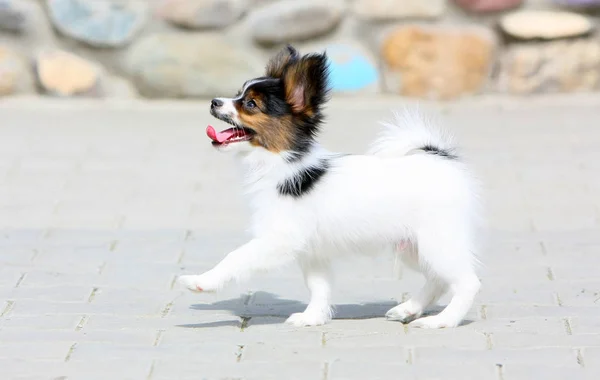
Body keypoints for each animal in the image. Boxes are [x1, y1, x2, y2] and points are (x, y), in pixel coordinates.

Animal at [179, 45, 482, 330]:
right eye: (237, 94)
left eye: (250, 104)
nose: (214, 102)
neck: (281, 163)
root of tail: (440, 157)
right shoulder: (312, 252)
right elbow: (319, 287)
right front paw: (312, 317)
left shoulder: (280, 239)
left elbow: (236, 256)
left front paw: (201, 281)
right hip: (413, 247)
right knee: (438, 279)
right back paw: (409, 309)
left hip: (437, 241)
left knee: (467, 282)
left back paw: (443, 320)